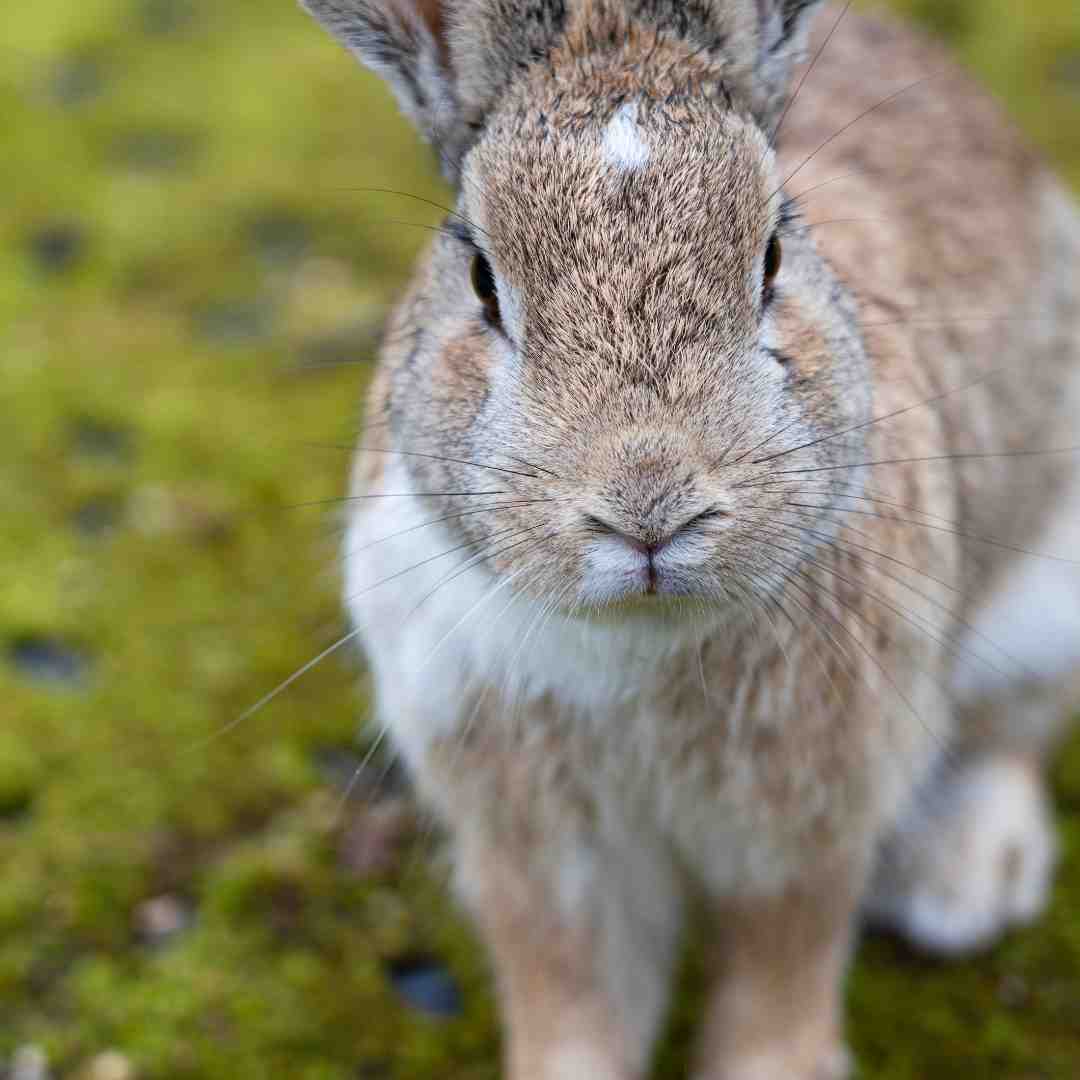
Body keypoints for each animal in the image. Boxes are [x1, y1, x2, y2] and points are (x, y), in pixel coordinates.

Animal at [300, 2, 1080, 1080]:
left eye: (775, 256)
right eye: (481, 281)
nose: (649, 507)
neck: (637, 637)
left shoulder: (802, 824)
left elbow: (779, 968)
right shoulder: (544, 852)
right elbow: (572, 995)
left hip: (1045, 599)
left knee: (1008, 735)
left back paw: (963, 882)